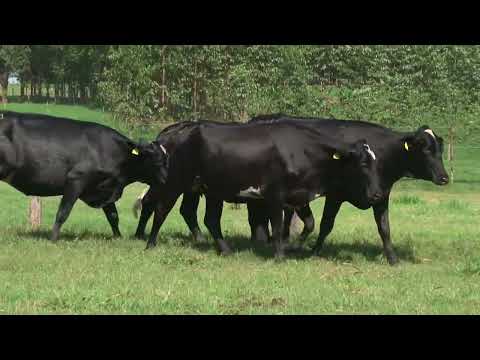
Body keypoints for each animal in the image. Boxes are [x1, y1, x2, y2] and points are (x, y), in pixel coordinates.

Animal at [0, 111, 169, 240]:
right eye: (155, 160)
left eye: (166, 159)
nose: (166, 179)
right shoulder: (76, 180)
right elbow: (63, 212)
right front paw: (53, 238)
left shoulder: (104, 187)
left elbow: (113, 216)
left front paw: (118, 237)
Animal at [133, 120, 380, 258]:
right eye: (362, 164)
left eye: (375, 162)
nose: (377, 193)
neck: (301, 150)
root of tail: (180, 129)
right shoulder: (275, 195)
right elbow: (278, 227)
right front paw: (279, 256)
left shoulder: (298, 196)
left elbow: (309, 224)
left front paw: (295, 247)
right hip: (175, 182)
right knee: (160, 210)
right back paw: (150, 244)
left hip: (212, 190)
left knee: (210, 219)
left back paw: (225, 250)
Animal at [248, 114, 450, 264]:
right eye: (426, 150)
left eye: (440, 149)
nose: (444, 177)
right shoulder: (335, 195)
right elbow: (326, 225)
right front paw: (315, 251)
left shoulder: (381, 195)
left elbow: (384, 228)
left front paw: (392, 259)